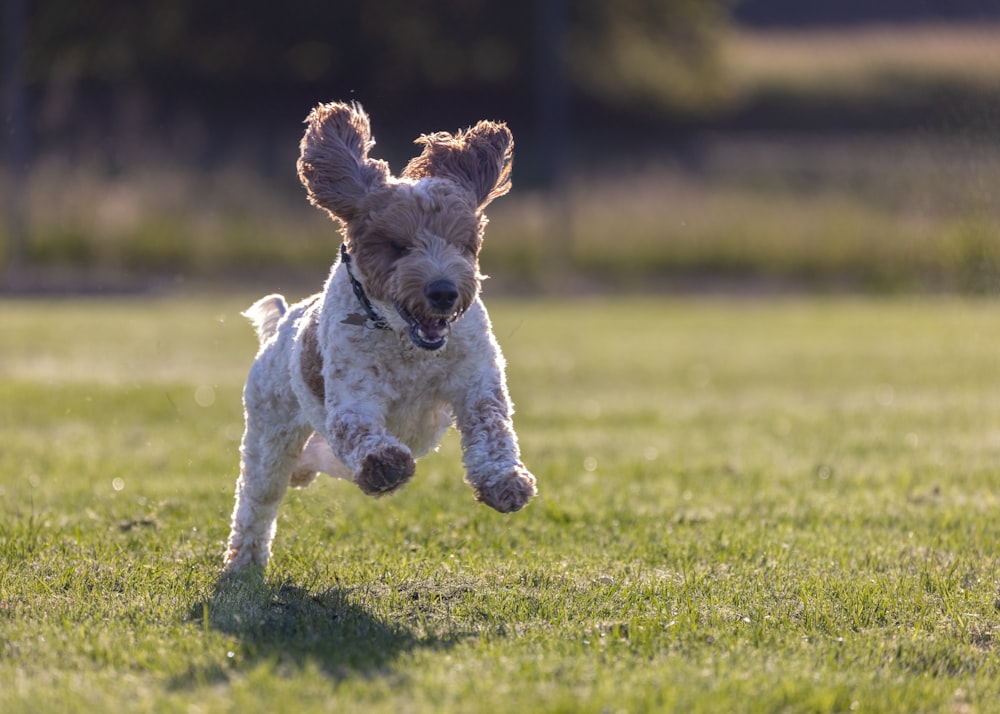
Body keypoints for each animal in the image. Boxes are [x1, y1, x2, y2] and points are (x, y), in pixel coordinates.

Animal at [225, 101, 540, 568]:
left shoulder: (476, 378)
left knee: (314, 460)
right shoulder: (353, 395)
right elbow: (356, 427)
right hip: (270, 431)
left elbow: (491, 424)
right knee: (258, 499)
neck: (405, 342)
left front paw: (505, 481)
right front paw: (384, 464)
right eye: (397, 246)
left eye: (463, 243)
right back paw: (244, 562)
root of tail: (282, 325)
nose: (443, 291)